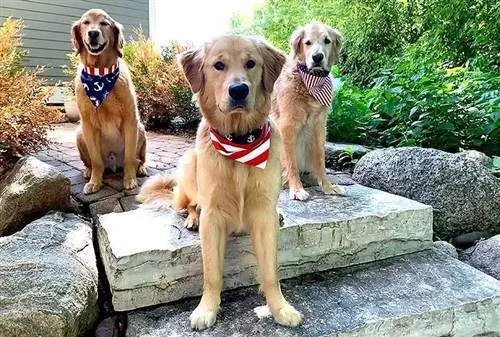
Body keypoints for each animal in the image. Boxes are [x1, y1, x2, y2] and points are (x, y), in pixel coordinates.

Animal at [71, 8, 147, 194]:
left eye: (104, 23)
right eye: (86, 23)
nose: (93, 33)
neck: (100, 72)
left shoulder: (130, 120)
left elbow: (129, 158)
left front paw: (130, 179)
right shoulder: (87, 125)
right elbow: (96, 161)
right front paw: (95, 182)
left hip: (141, 129)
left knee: (139, 159)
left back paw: (141, 168)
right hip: (79, 134)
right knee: (92, 163)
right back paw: (88, 171)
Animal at [137, 35, 302, 330]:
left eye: (251, 63)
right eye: (219, 65)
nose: (239, 90)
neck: (240, 142)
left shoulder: (263, 216)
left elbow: (270, 272)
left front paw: (280, 308)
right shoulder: (213, 217)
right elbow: (212, 272)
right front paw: (207, 309)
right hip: (189, 162)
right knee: (188, 205)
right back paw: (192, 218)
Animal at [272, 21, 346, 200]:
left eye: (327, 41)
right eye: (307, 42)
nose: (317, 57)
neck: (309, 82)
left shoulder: (319, 126)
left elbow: (320, 159)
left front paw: (327, 186)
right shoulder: (286, 126)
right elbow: (291, 161)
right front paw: (296, 189)